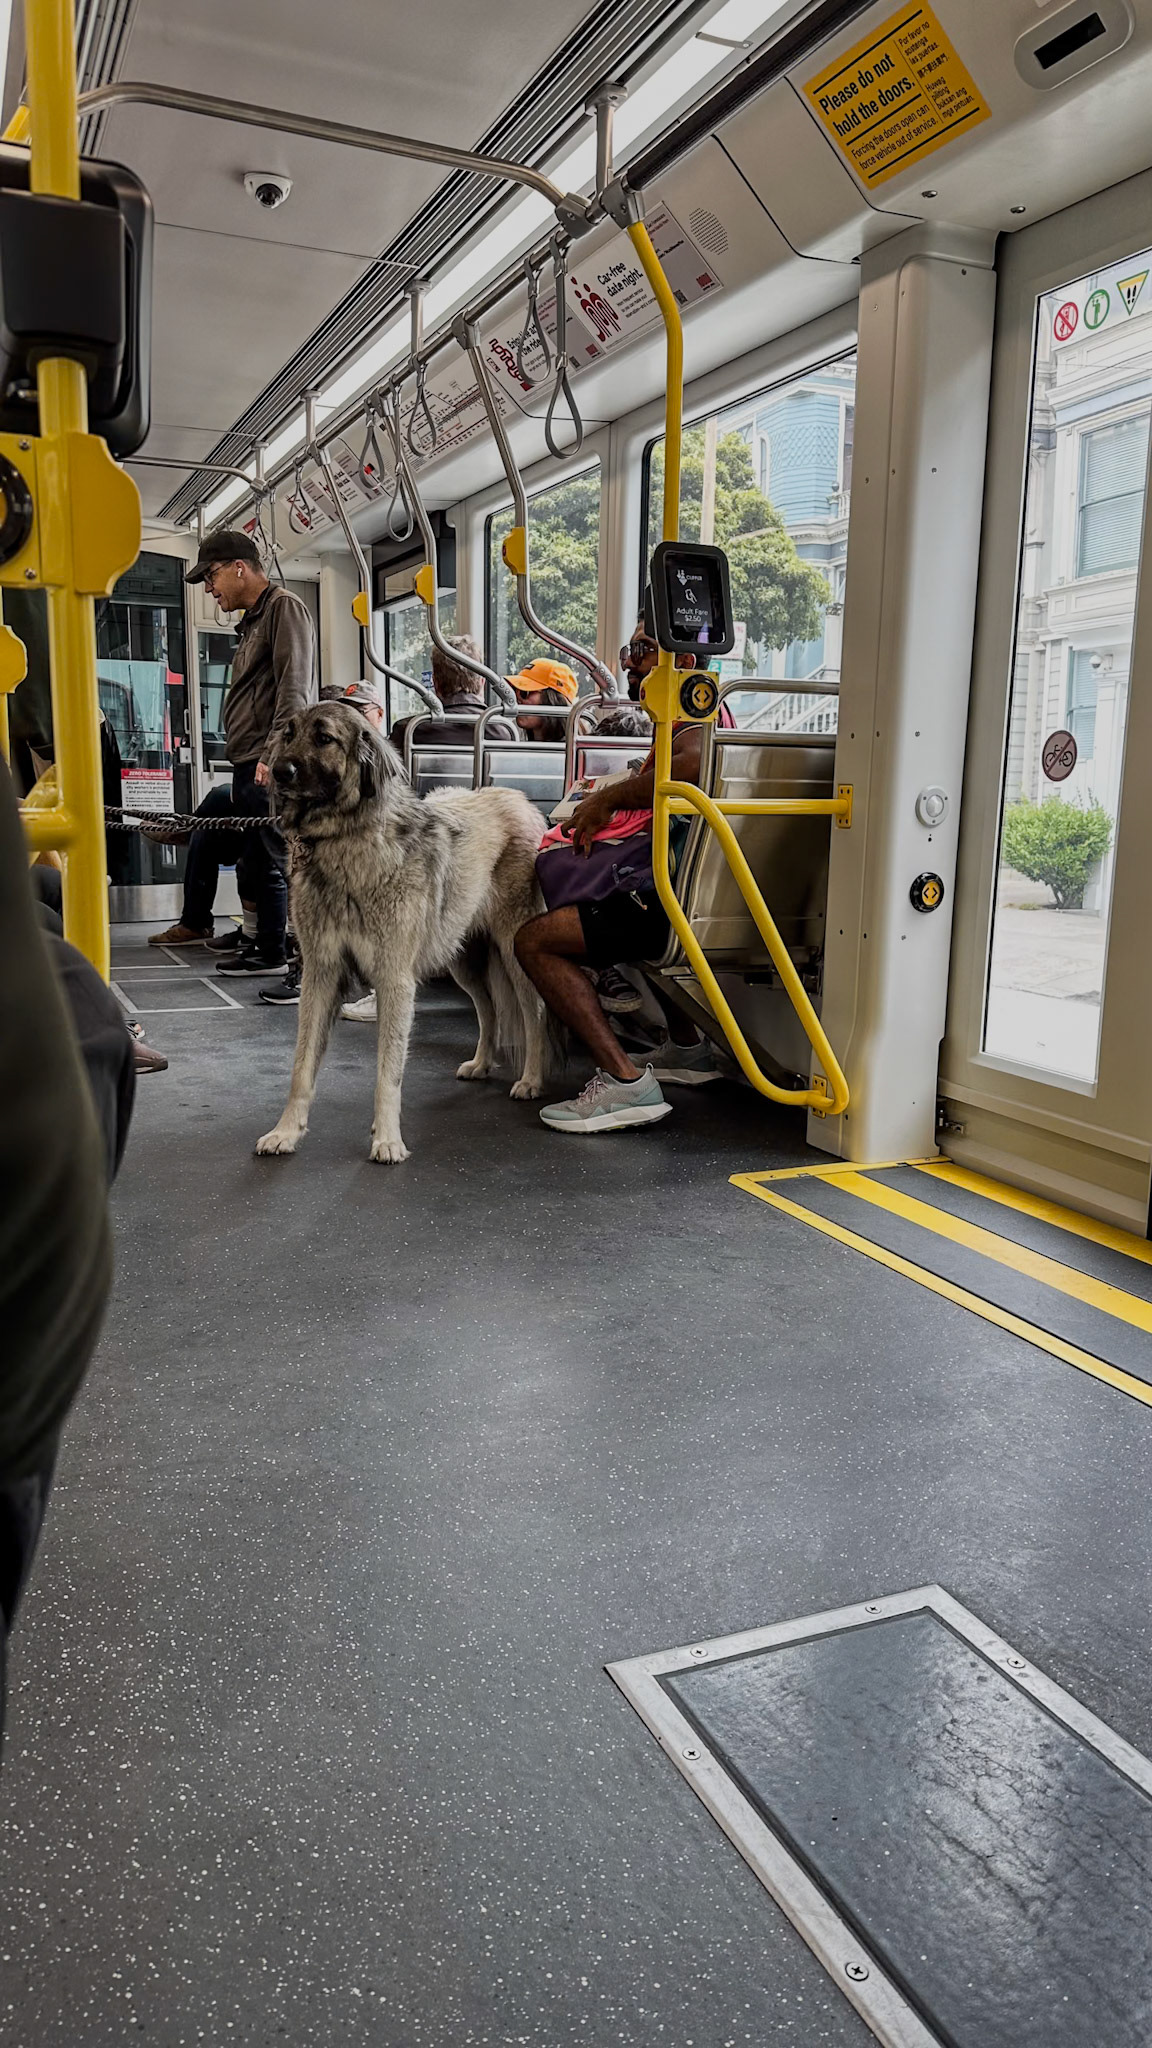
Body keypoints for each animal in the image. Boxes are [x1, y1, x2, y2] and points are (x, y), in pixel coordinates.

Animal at [256, 700, 553, 1163]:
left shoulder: (395, 981)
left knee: (532, 1012)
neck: (343, 841)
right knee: (489, 1009)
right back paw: (481, 1063)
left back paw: (531, 1079)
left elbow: (388, 1073)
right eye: (288, 734)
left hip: (513, 950)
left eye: (324, 738)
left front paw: (387, 1139)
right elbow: (301, 1067)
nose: (278, 770)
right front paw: (286, 1131)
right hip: (461, 960)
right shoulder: (321, 975)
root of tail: (519, 799)